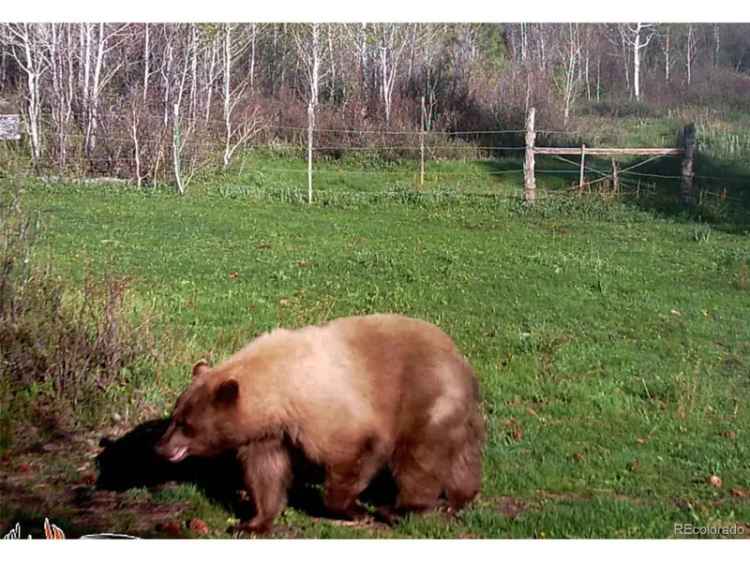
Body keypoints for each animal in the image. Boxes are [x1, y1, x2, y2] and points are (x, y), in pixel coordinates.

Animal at [155, 312, 484, 532]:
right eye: (175, 415)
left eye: (187, 425)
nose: (160, 448)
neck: (280, 385)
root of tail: (462, 362)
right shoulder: (268, 432)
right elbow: (265, 472)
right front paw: (251, 523)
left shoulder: (329, 411)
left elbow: (355, 453)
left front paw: (352, 510)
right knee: (461, 457)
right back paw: (458, 498)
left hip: (425, 398)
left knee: (419, 458)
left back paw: (400, 508)